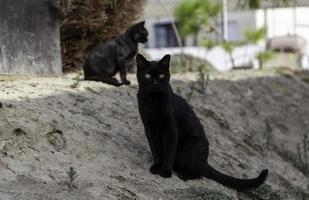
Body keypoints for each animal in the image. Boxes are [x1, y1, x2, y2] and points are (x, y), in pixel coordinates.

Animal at [135, 53, 268, 191]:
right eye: (148, 76)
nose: (155, 83)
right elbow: (155, 150)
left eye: (161, 76)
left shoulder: (171, 130)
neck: (153, 101)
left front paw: (165, 171)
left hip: (192, 146)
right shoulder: (149, 128)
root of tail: (206, 162)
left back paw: (184, 175)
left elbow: (169, 152)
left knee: (199, 172)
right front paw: (156, 167)